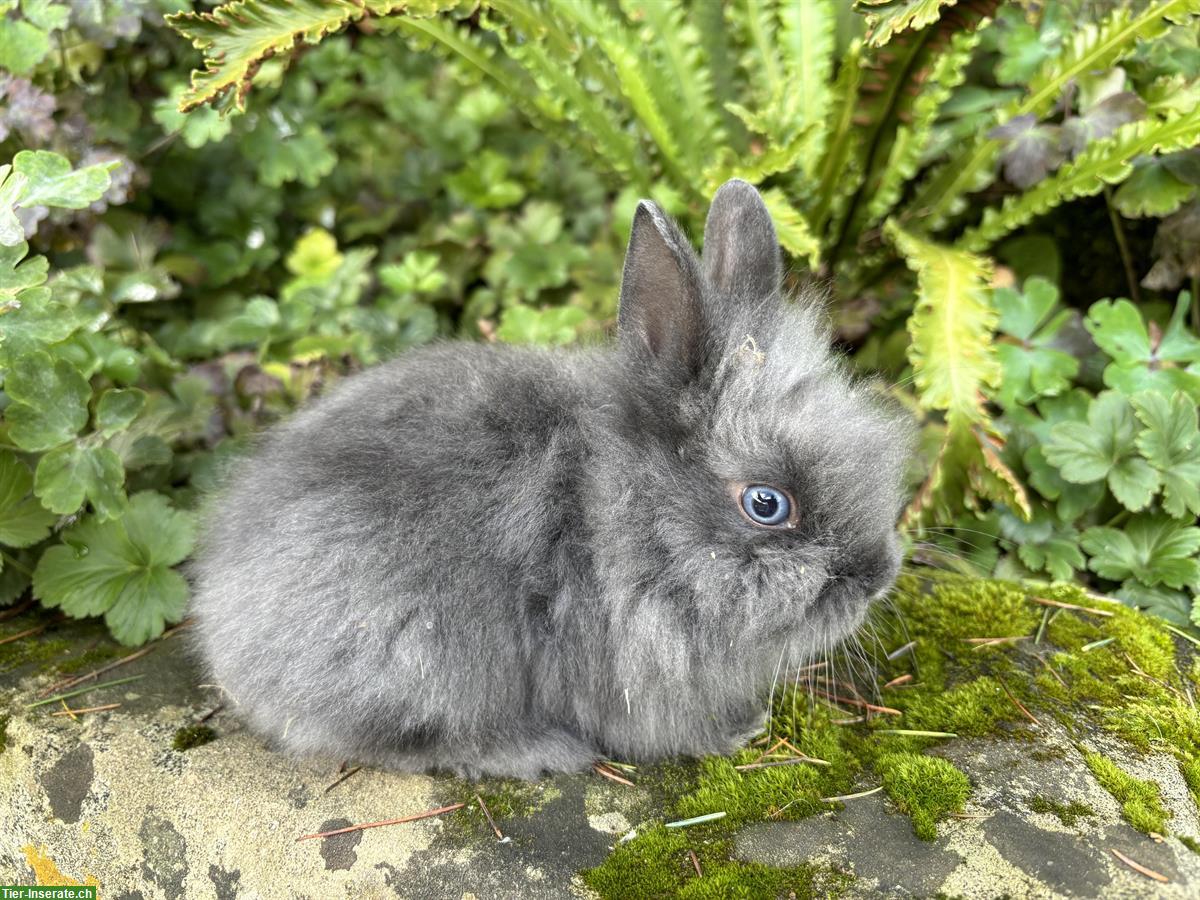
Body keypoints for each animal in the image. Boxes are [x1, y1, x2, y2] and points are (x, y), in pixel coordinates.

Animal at [192, 177, 912, 782]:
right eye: (766, 503)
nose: (876, 577)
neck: (630, 510)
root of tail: (224, 622)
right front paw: (736, 729)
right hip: (421, 660)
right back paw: (538, 750)